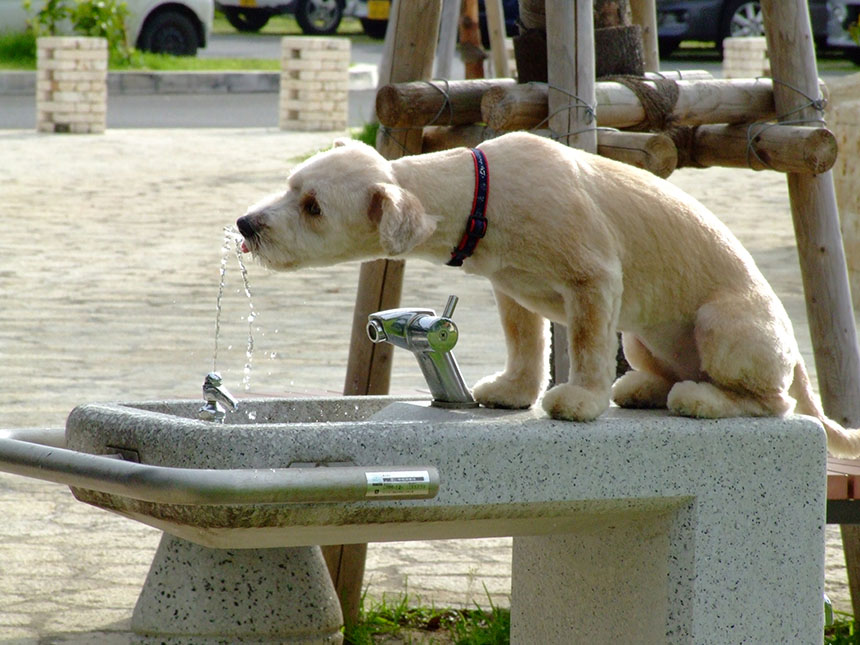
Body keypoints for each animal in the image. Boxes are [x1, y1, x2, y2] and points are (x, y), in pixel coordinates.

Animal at [235, 128, 860, 456]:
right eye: (290, 187)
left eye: (313, 206)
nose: (245, 224)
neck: (481, 194)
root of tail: (795, 358)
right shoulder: (510, 290)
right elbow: (525, 343)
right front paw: (514, 391)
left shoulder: (594, 280)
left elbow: (583, 345)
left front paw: (579, 401)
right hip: (640, 339)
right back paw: (646, 388)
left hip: (723, 324)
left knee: (773, 403)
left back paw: (701, 399)